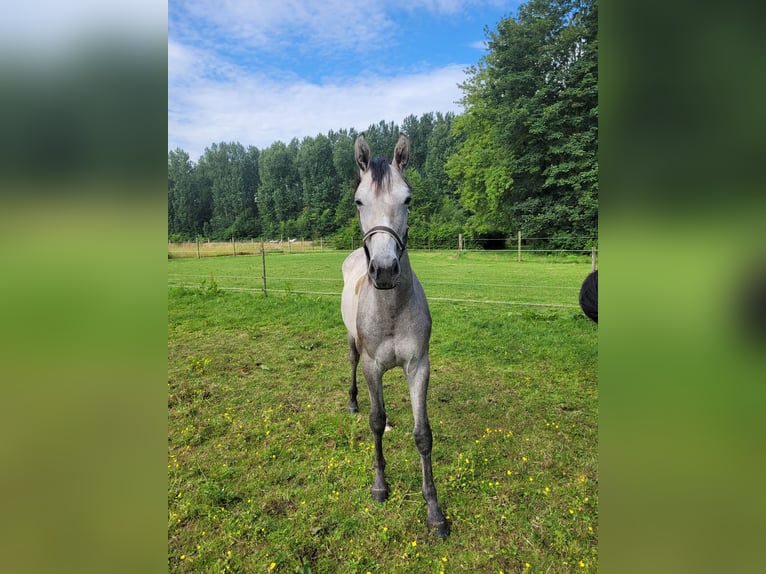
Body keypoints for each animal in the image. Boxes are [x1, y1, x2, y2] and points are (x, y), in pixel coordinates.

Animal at [340, 134, 450, 540]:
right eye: (359, 201)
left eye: (408, 199)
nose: (385, 270)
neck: (390, 307)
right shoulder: (373, 365)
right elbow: (375, 421)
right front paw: (380, 486)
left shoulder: (418, 366)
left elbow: (423, 435)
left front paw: (434, 511)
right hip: (353, 346)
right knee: (353, 367)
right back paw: (353, 402)